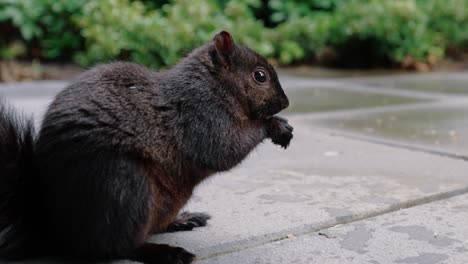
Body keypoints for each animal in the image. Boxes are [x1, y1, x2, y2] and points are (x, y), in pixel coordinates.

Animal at [0, 30, 292, 262]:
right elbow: (224, 148)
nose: (285, 102)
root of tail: (51, 227)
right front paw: (274, 126)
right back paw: (164, 252)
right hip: (124, 186)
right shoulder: (201, 115)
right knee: (114, 247)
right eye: (260, 76)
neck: (215, 85)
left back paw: (183, 219)